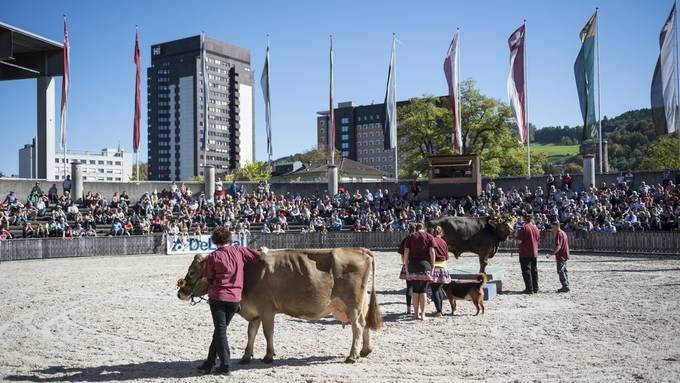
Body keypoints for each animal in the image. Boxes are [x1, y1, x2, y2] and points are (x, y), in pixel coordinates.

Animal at [177, 248, 382, 364]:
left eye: (192, 271)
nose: (180, 292)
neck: (248, 272)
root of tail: (360, 250)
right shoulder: (255, 312)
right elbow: (251, 333)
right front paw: (246, 357)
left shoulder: (267, 310)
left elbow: (268, 333)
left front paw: (268, 356)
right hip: (360, 303)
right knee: (365, 324)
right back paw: (365, 351)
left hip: (352, 303)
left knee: (357, 326)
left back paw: (352, 356)